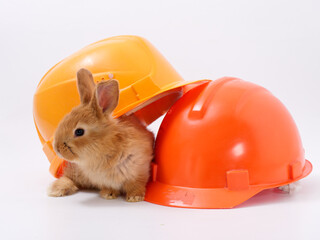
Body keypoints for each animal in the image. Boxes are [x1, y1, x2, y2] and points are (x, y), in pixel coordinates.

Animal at [47, 68, 155, 202]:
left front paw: (134, 197)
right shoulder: (103, 180)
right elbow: (109, 187)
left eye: (79, 131)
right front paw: (108, 195)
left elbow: (136, 185)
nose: (57, 149)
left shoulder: (139, 171)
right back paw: (57, 190)